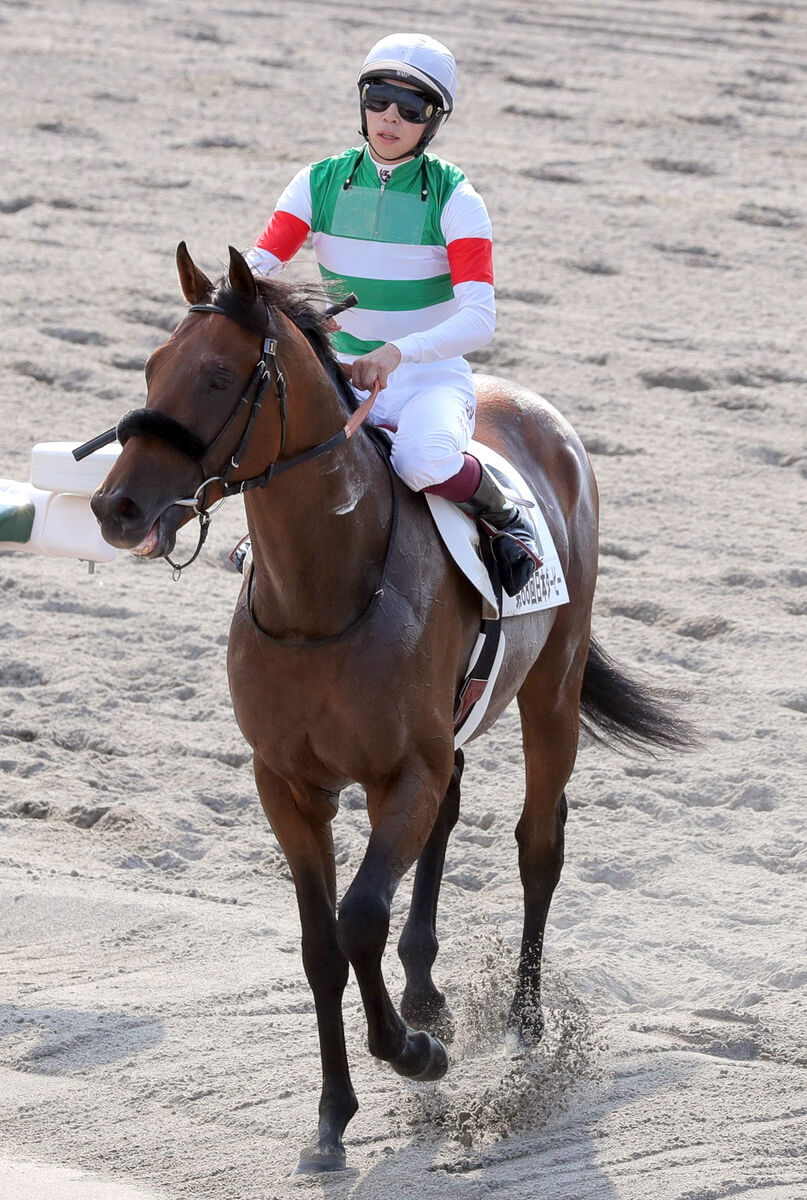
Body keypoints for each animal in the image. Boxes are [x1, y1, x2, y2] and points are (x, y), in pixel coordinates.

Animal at [89, 244, 689, 1173]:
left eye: (220, 376)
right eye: (153, 366)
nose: (115, 507)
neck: (321, 596)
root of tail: (539, 413)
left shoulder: (399, 771)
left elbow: (360, 918)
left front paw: (414, 1053)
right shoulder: (288, 785)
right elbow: (319, 945)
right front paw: (333, 1117)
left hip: (551, 689)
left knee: (538, 842)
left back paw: (521, 1024)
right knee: (451, 812)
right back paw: (425, 987)